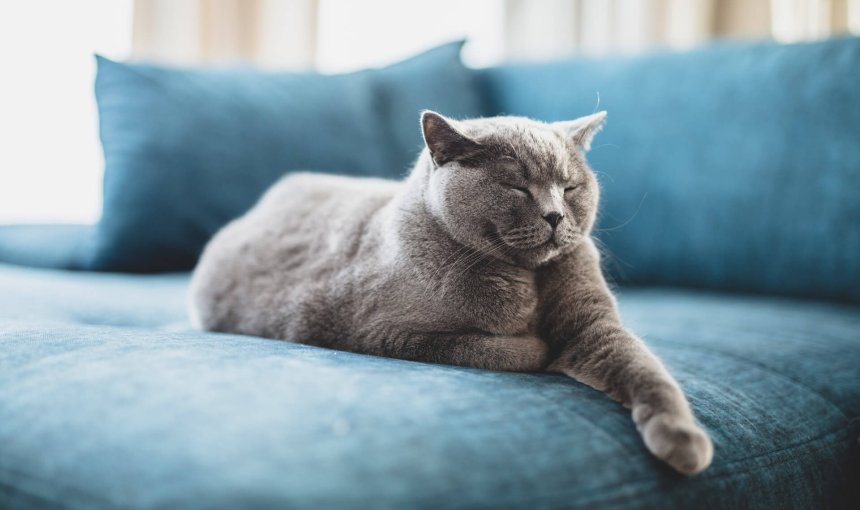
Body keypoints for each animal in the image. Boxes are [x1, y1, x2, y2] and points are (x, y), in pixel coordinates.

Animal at [191, 110, 716, 474]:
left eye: (569, 188)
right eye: (517, 187)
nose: (555, 216)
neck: (527, 279)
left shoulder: (593, 322)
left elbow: (643, 368)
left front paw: (683, 439)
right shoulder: (384, 332)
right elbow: (505, 349)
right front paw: (537, 344)